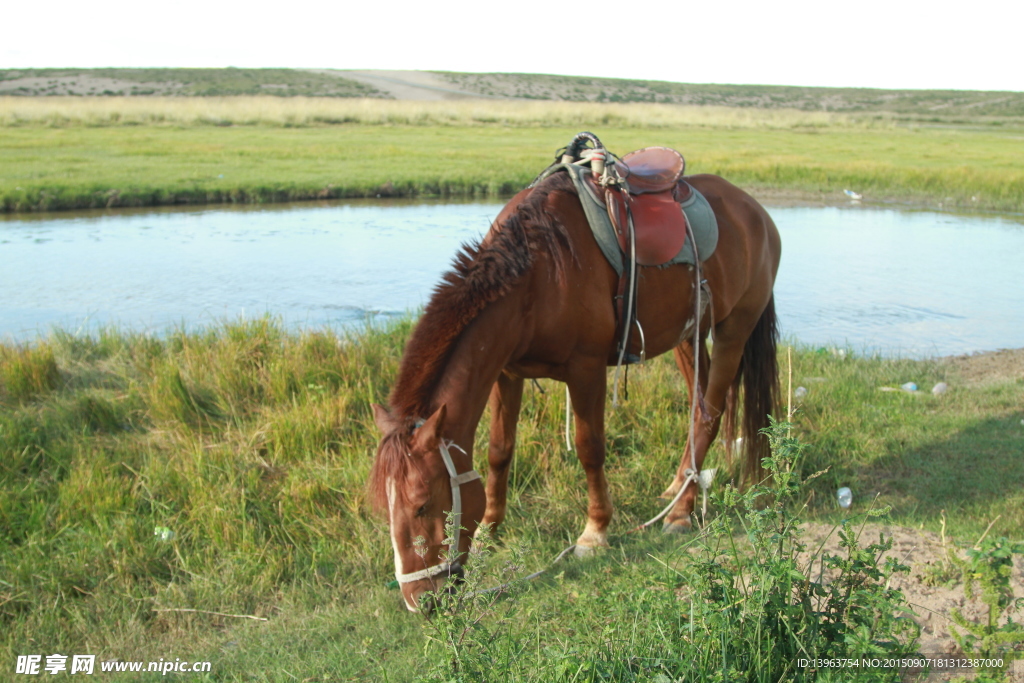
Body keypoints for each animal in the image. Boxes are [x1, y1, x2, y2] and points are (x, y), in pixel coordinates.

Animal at [372, 152, 778, 610]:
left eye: (422, 506)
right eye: (385, 509)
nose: (419, 600)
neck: (539, 274)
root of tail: (755, 211)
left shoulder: (586, 369)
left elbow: (589, 449)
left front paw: (594, 533)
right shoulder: (506, 373)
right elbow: (499, 452)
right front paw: (490, 531)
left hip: (734, 329)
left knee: (709, 413)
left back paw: (681, 511)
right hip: (687, 336)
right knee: (699, 407)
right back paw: (676, 487)